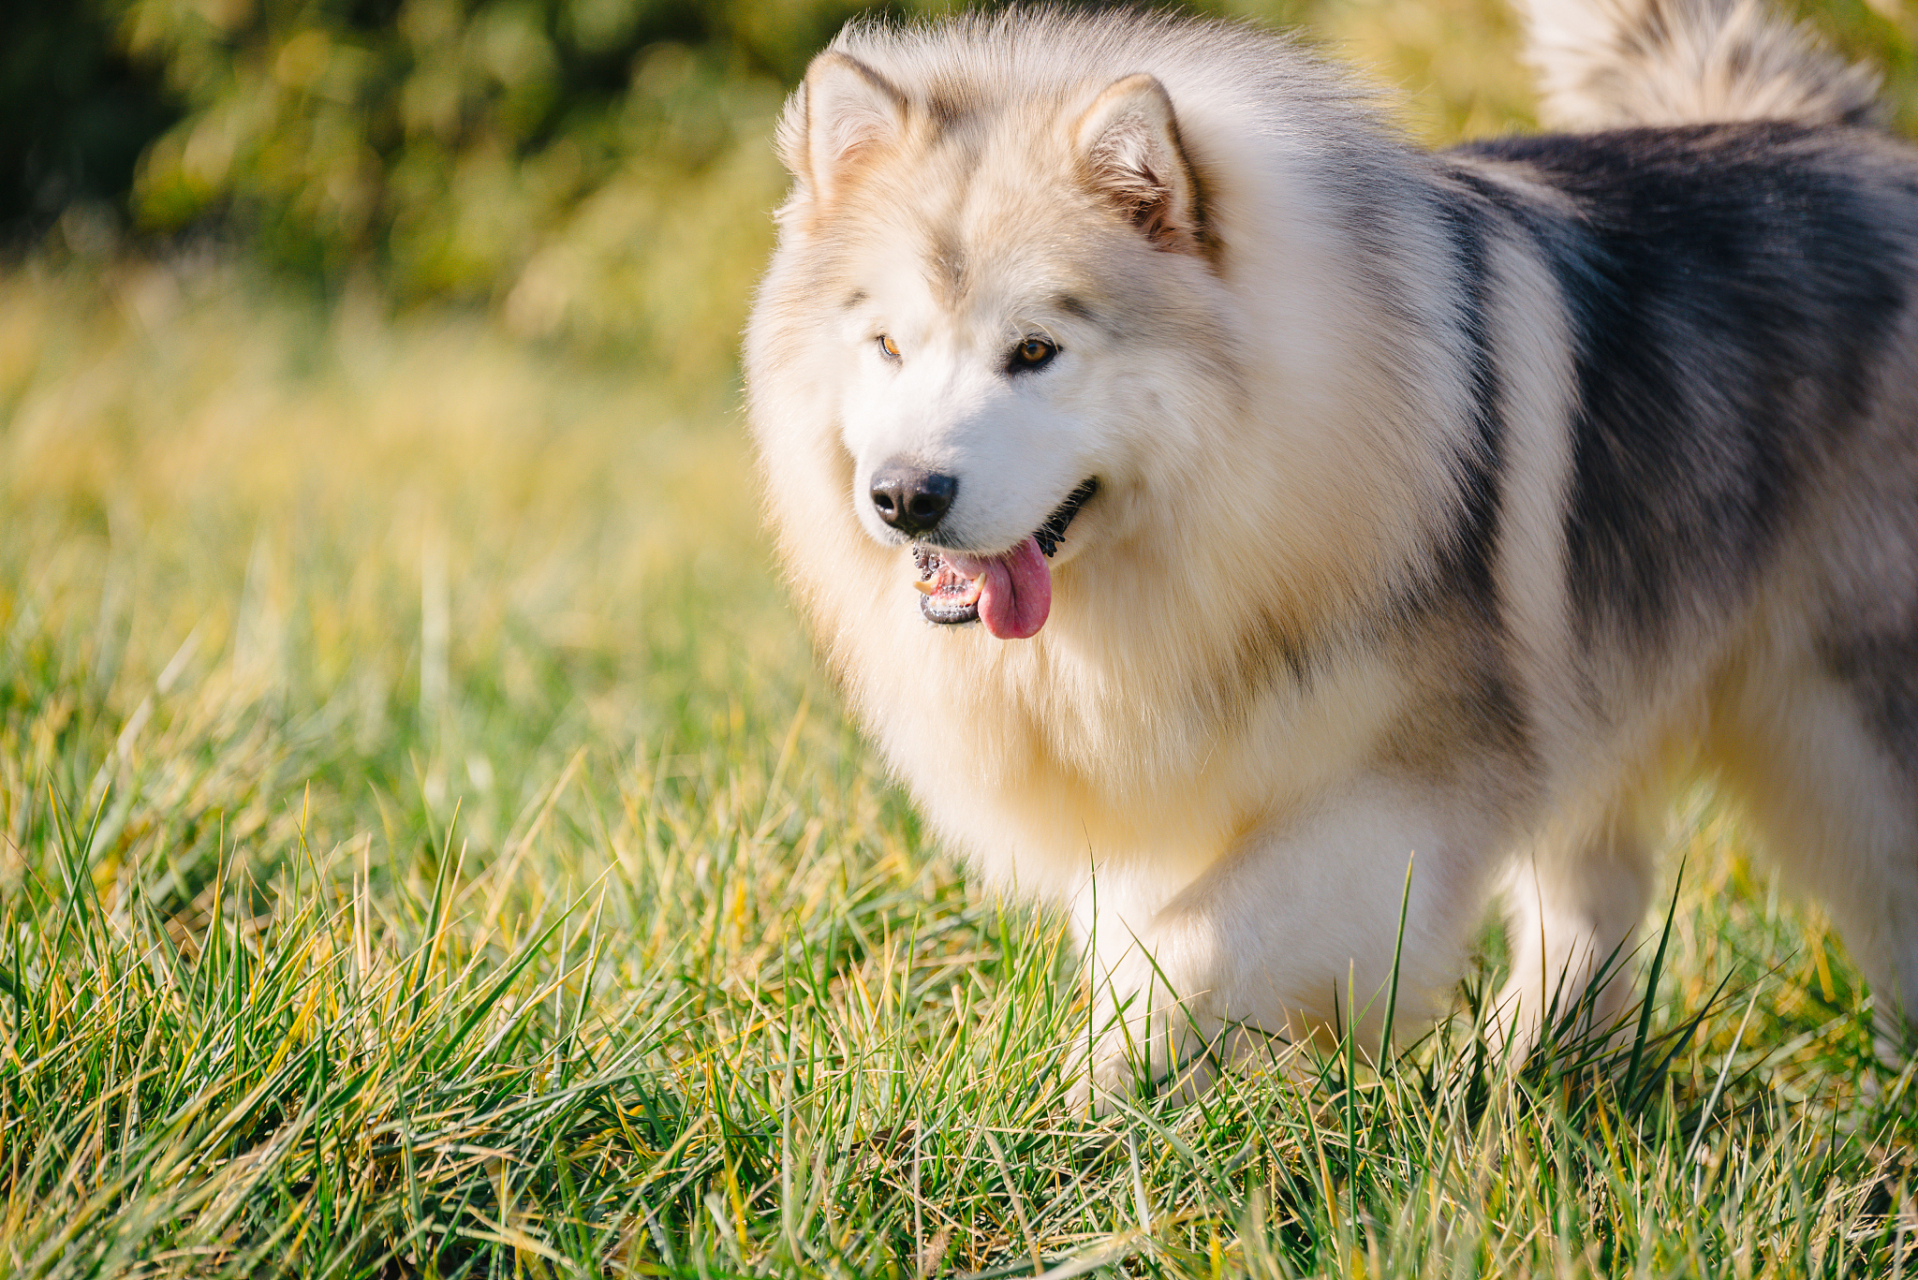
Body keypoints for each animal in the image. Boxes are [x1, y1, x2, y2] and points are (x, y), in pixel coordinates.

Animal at [740, 0, 1918, 1105]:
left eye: (1035, 350)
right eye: (887, 345)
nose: (905, 497)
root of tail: (1844, 136)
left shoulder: (1406, 782)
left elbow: (1192, 945)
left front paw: (1067, 1111)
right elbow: (1150, 945)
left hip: (1844, 726)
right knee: (1595, 902)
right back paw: (1511, 1078)